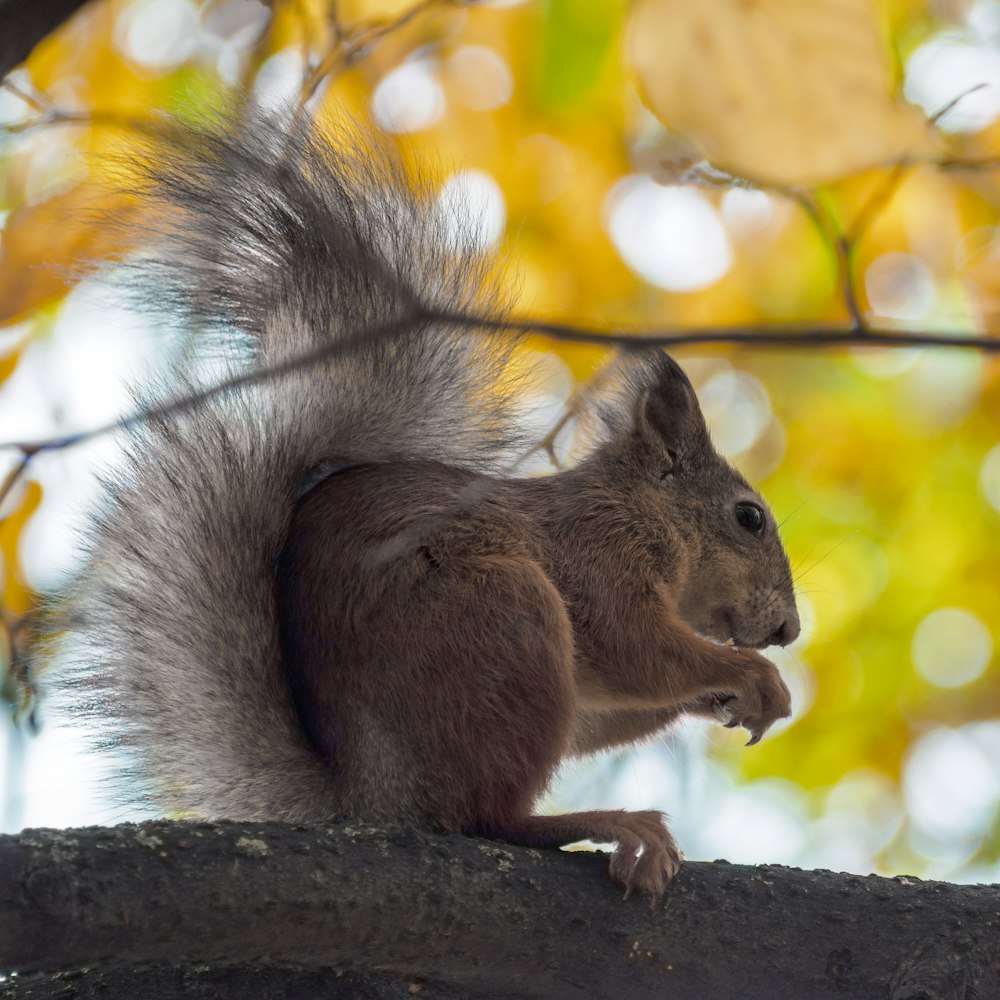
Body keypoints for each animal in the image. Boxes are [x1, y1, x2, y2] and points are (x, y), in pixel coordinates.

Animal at [52, 107, 796, 900]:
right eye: (748, 517)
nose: (787, 630)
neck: (645, 513)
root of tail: (374, 797)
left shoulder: (593, 668)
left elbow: (610, 701)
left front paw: (730, 698)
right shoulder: (601, 554)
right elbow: (637, 646)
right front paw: (753, 677)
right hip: (500, 620)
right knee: (487, 818)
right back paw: (607, 824)